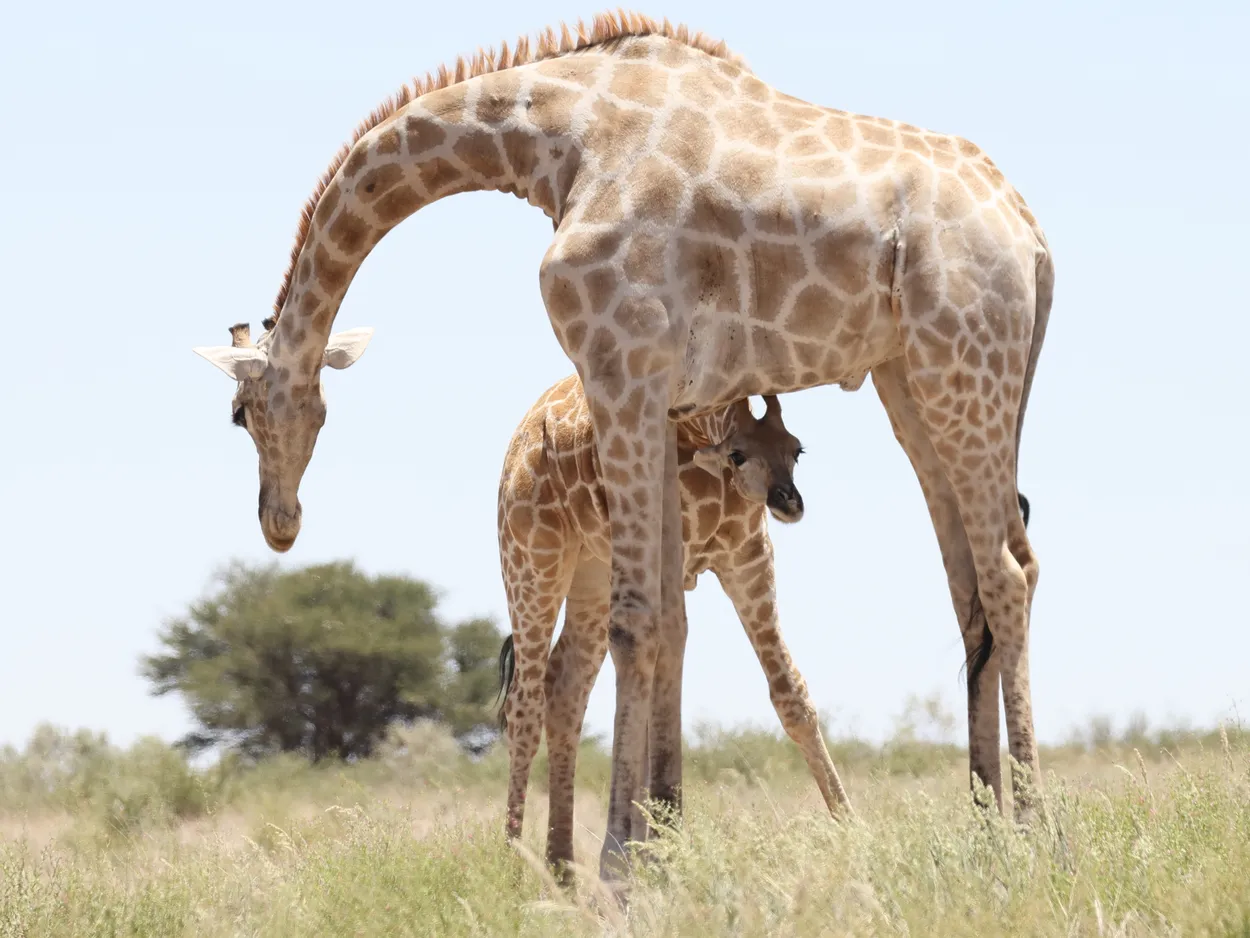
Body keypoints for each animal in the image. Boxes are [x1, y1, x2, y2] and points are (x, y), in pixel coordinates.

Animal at [494, 374, 849, 872]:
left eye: (796, 449)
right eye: (738, 454)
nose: (788, 502)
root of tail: (524, 431)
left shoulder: (748, 555)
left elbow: (790, 694)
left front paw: (853, 827)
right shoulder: (672, 553)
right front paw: (653, 851)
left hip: (592, 576)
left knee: (564, 689)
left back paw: (562, 870)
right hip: (531, 558)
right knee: (524, 703)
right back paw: (513, 862)